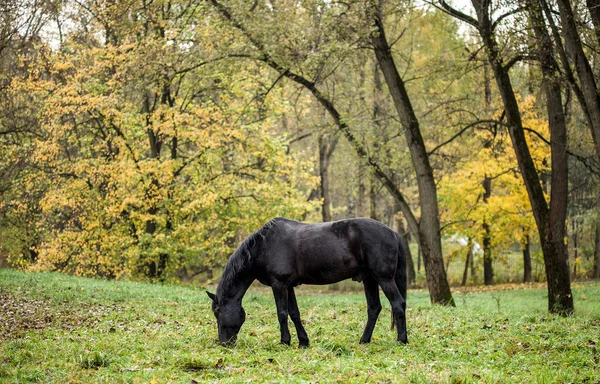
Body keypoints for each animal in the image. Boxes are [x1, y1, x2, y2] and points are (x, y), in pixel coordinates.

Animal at [206, 218, 408, 346]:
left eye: (217, 313)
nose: (224, 344)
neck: (265, 247)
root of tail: (393, 233)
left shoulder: (279, 285)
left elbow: (282, 313)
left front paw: (284, 341)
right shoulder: (289, 286)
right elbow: (294, 313)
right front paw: (303, 342)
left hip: (383, 278)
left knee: (398, 304)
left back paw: (402, 340)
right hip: (369, 279)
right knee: (374, 309)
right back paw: (364, 340)